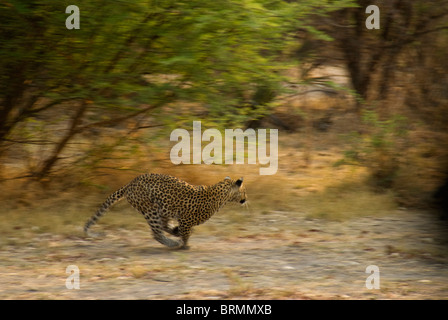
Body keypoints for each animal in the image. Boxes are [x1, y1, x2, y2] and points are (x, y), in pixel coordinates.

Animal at [82, 174, 247, 249]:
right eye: (244, 191)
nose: (246, 199)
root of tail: (130, 183)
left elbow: (181, 230)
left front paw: (179, 234)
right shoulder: (186, 219)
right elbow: (186, 233)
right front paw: (185, 245)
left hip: (161, 209)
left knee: (162, 227)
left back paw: (174, 234)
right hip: (150, 209)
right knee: (156, 232)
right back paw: (173, 243)